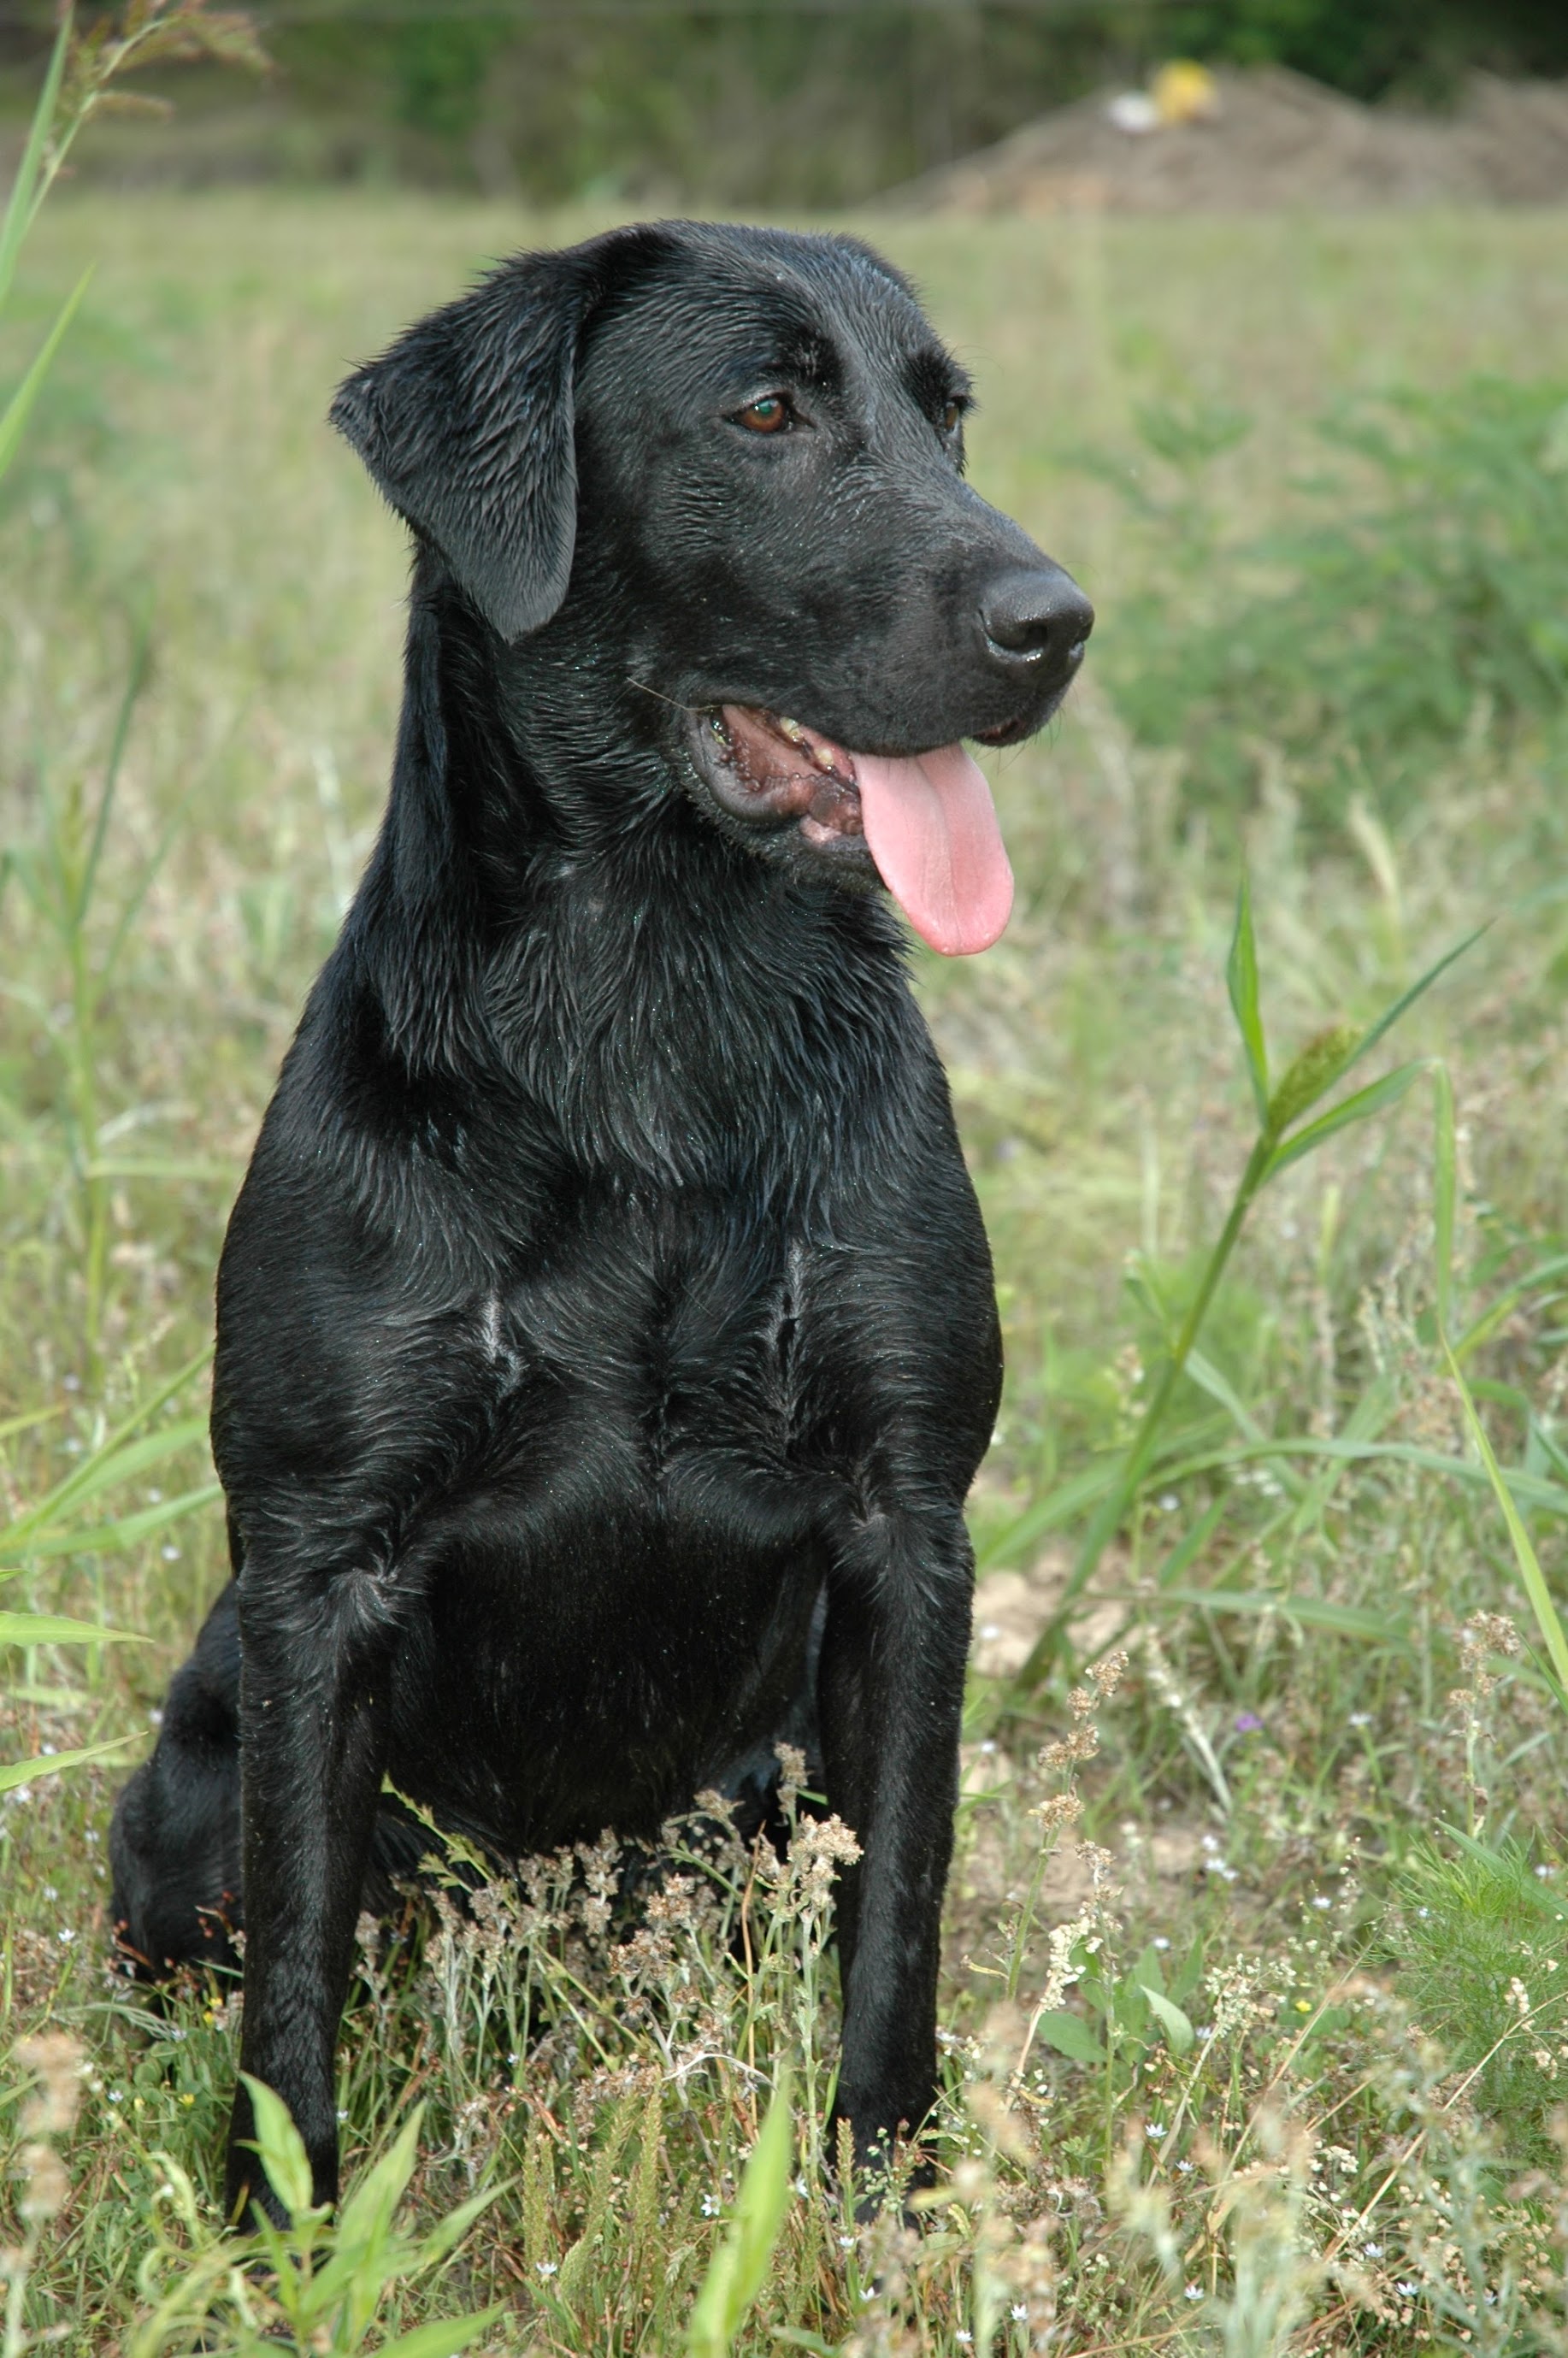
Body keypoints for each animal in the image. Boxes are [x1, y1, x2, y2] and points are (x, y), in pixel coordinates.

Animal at [109, 221, 1089, 2225]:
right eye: (766, 410)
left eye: (945, 411)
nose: (1057, 622)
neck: (653, 1010)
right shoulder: (318, 1565)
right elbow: (294, 1974)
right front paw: (279, 2232)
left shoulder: (907, 1530)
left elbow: (898, 1918)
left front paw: (883, 2195)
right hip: (182, 1783)